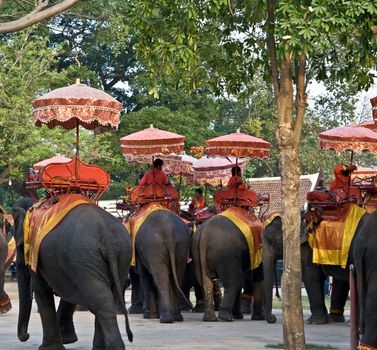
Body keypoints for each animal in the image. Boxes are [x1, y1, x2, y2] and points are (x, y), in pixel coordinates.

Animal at [12, 197, 133, 350]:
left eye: (19, 246)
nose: (26, 336)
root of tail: (108, 238)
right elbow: (68, 292)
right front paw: (66, 340)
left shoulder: (36, 254)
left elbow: (42, 291)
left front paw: (48, 348)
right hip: (121, 255)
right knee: (112, 295)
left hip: (82, 256)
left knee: (101, 300)